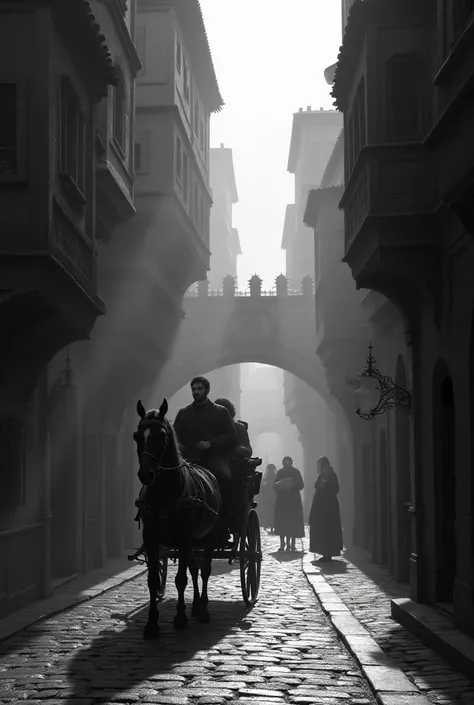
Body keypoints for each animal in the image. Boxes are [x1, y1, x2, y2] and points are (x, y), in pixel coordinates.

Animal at [133, 396, 222, 640]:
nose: (146, 474)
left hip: (208, 537)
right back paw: (195, 606)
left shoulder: (184, 538)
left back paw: (203, 610)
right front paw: (151, 624)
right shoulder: (151, 538)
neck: (164, 492)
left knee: (205, 570)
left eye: (161, 436)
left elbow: (181, 579)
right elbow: (153, 580)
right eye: (137, 436)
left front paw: (180, 618)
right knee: (195, 569)